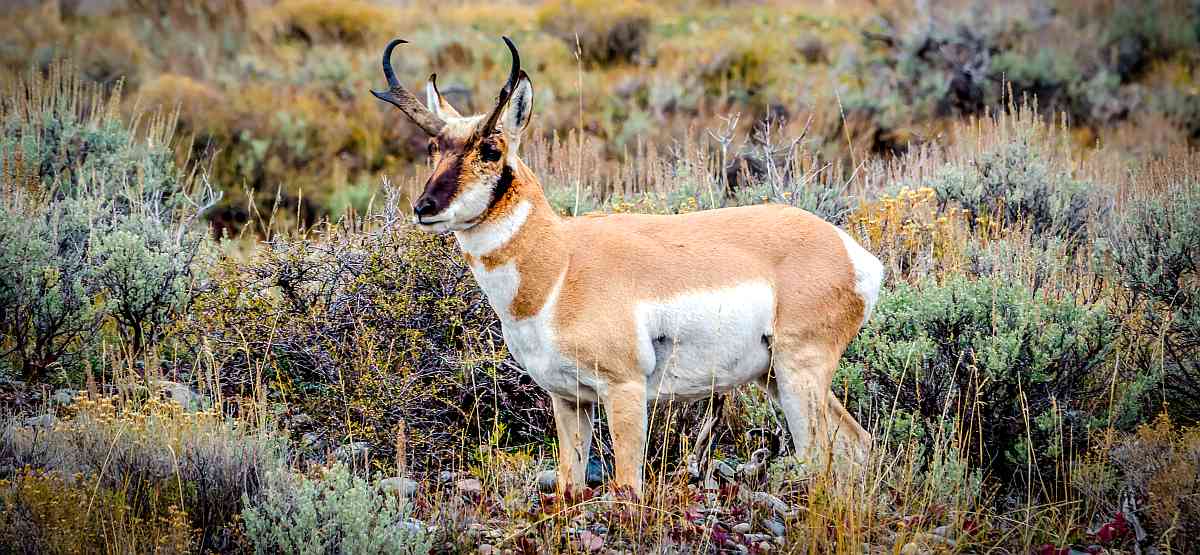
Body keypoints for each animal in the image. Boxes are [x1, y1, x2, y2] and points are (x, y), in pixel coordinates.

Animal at [371, 37, 883, 495]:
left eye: (491, 150)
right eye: (434, 147)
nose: (425, 207)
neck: (559, 265)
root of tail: (851, 251)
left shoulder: (625, 391)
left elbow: (627, 488)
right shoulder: (568, 399)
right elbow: (570, 485)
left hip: (798, 374)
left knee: (822, 454)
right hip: (775, 377)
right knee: (856, 445)